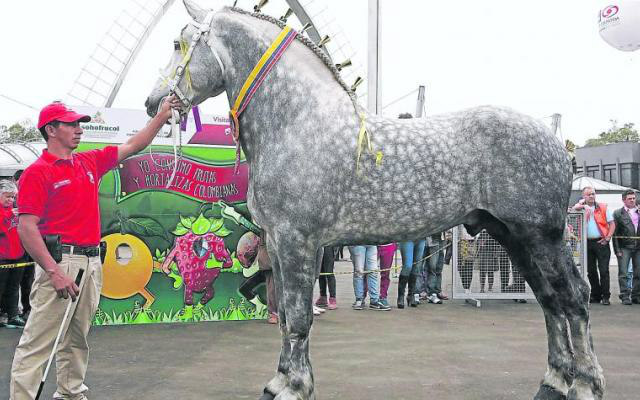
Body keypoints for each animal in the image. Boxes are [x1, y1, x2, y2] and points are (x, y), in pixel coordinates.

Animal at [145, 1, 604, 398]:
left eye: (178, 43)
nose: (154, 103)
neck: (298, 123)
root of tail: (557, 143)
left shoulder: (297, 241)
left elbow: (298, 316)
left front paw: (295, 386)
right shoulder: (277, 242)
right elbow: (286, 315)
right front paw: (281, 381)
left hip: (541, 235)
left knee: (573, 298)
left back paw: (585, 384)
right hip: (513, 237)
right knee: (550, 301)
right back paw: (553, 381)